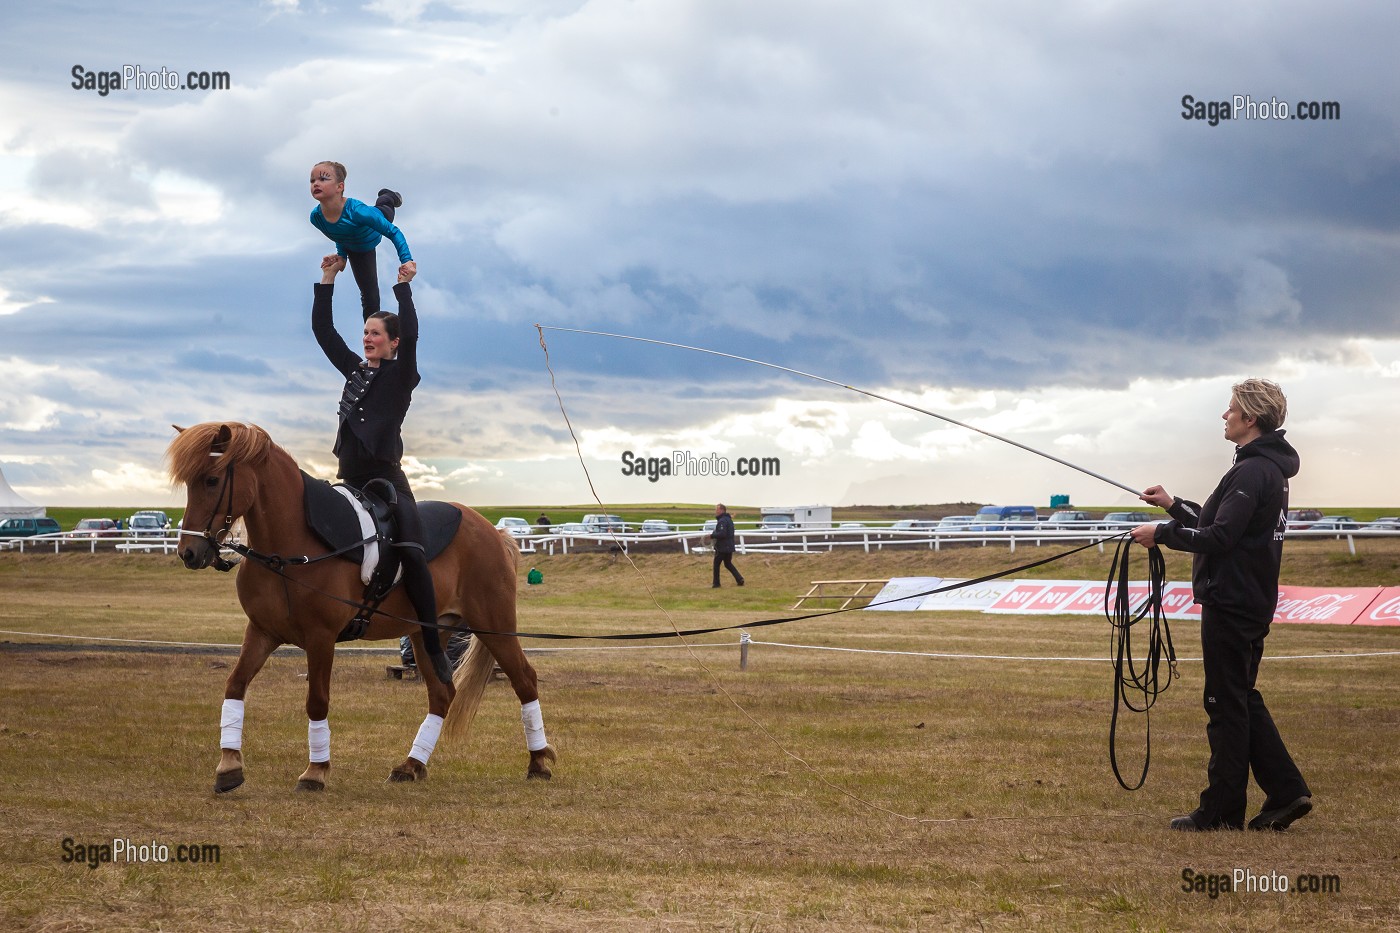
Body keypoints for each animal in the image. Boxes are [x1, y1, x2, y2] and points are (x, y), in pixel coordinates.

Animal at [166, 420, 554, 790]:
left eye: (212, 480)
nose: (189, 553)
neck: (289, 550)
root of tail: (493, 532)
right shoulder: (262, 632)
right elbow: (235, 685)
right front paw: (229, 766)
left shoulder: (320, 638)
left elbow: (317, 700)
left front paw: (315, 772)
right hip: (427, 635)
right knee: (442, 693)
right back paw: (411, 766)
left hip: (494, 624)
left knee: (524, 680)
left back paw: (538, 763)